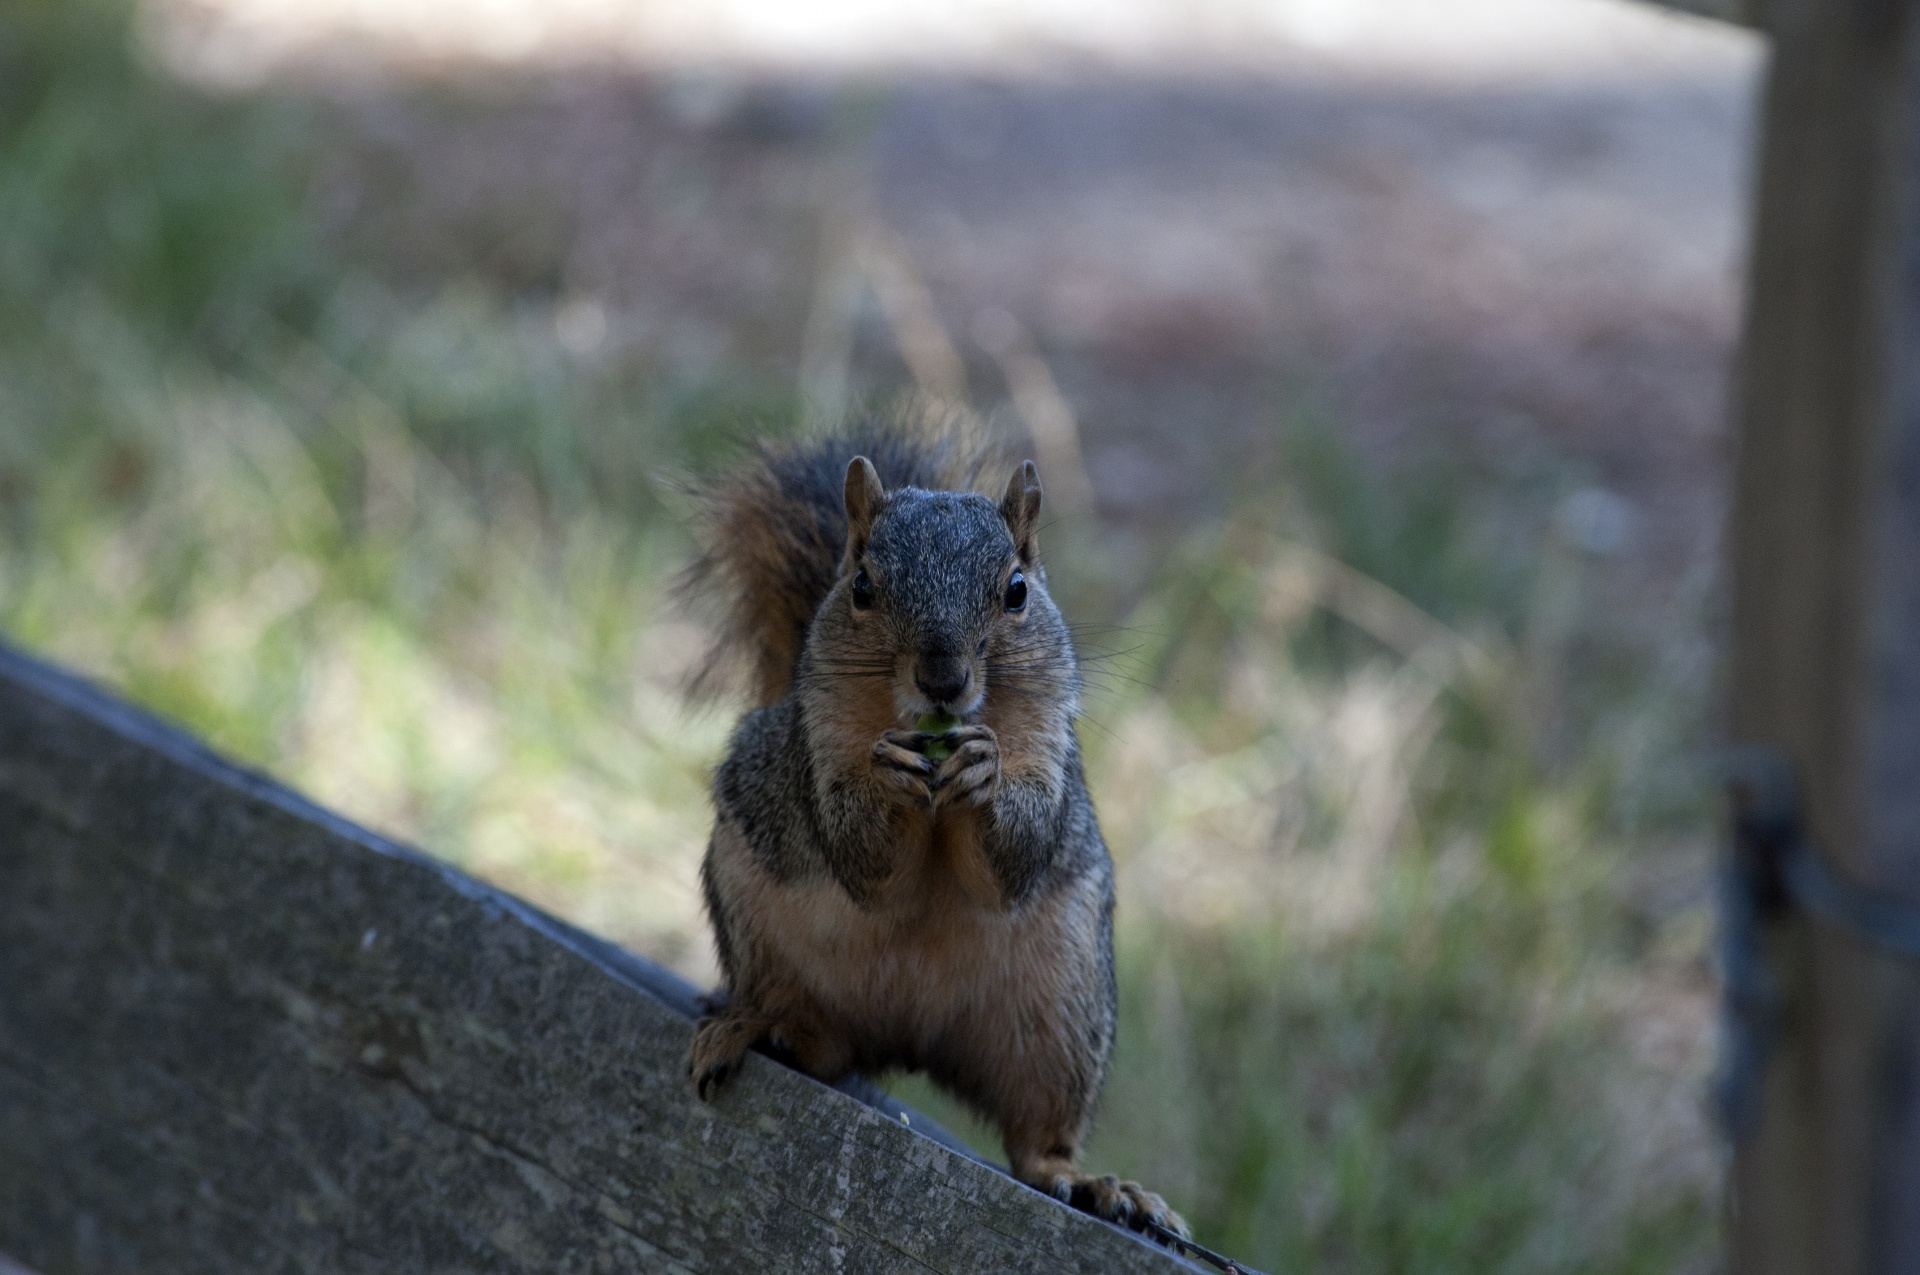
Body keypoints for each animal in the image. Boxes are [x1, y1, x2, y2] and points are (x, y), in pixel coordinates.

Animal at [675, 416, 1182, 1236]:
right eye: (862, 587)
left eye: (1017, 590)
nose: (942, 680)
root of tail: (910, 1037)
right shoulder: (817, 747)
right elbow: (862, 857)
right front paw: (887, 781)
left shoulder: (1050, 747)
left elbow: (1016, 855)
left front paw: (985, 773)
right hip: (754, 922)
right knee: (820, 1047)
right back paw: (759, 1027)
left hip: (1062, 1010)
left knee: (1038, 1138)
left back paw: (1091, 1182)